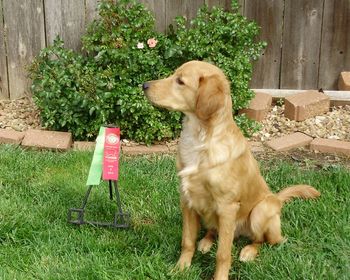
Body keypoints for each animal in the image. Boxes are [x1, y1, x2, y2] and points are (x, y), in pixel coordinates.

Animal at [142, 61, 320, 280]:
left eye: (180, 81)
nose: (144, 85)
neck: (199, 139)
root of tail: (277, 199)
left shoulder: (227, 208)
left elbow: (223, 254)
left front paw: (219, 277)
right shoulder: (187, 200)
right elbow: (187, 241)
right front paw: (180, 269)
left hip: (261, 211)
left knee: (264, 241)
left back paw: (248, 251)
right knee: (213, 232)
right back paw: (205, 242)